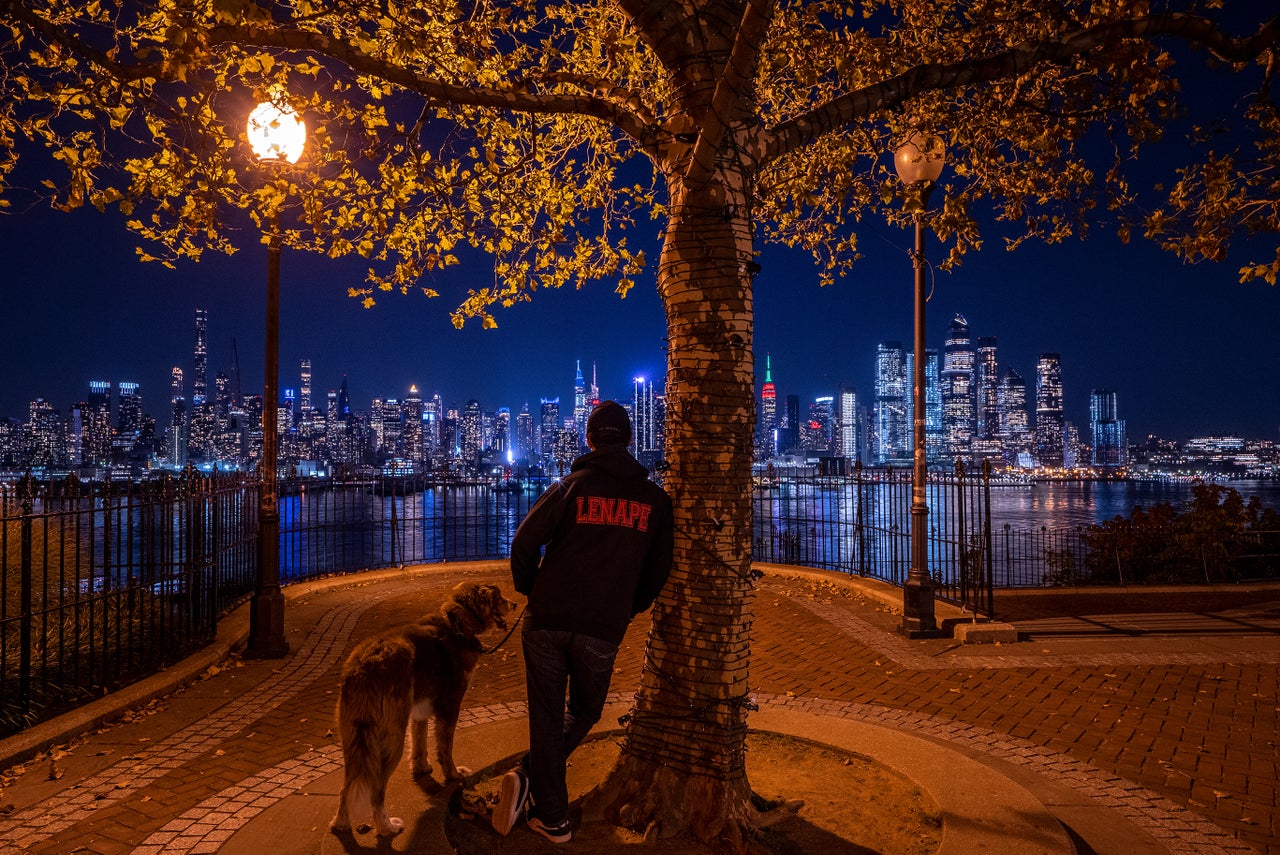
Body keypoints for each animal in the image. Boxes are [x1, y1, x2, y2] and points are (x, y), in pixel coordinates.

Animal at [330, 581, 514, 834]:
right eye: (499, 596)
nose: (515, 604)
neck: (457, 624)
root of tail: (365, 665)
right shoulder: (449, 706)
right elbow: (445, 748)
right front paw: (453, 775)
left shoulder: (419, 712)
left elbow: (419, 743)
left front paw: (421, 768)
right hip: (391, 736)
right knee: (376, 790)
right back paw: (387, 827)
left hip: (353, 738)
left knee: (345, 788)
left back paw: (341, 823)